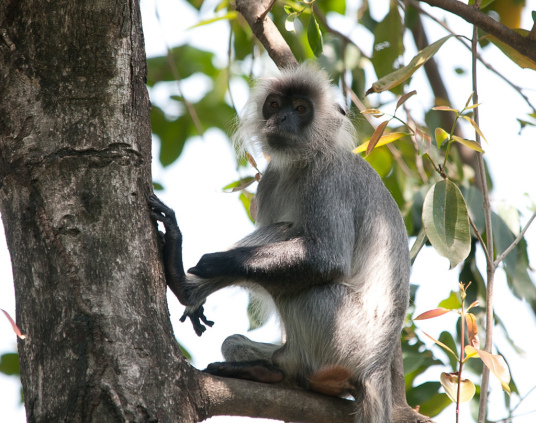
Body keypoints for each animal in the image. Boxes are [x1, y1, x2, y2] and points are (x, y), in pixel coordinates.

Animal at [151, 63, 410, 423]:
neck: (302, 163)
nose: (283, 118)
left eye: (300, 109)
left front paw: (211, 264)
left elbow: (326, 259)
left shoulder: (330, 176)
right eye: (274, 105)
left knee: (295, 264)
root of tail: (376, 368)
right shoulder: (271, 180)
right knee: (236, 338)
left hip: (341, 332)